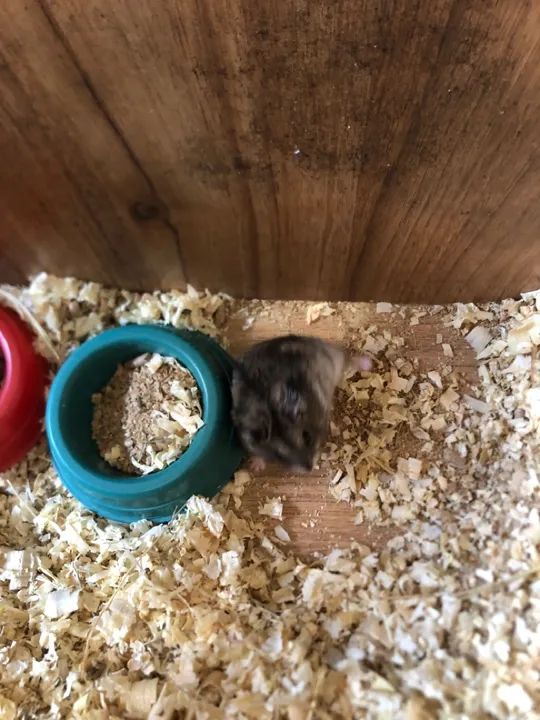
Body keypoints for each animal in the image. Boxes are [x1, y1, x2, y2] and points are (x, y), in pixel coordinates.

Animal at [231, 335, 372, 472]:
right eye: (279, 456)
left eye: (307, 437)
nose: (309, 469)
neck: (270, 410)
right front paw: (255, 467)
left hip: (333, 358)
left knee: (348, 358)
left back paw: (367, 363)